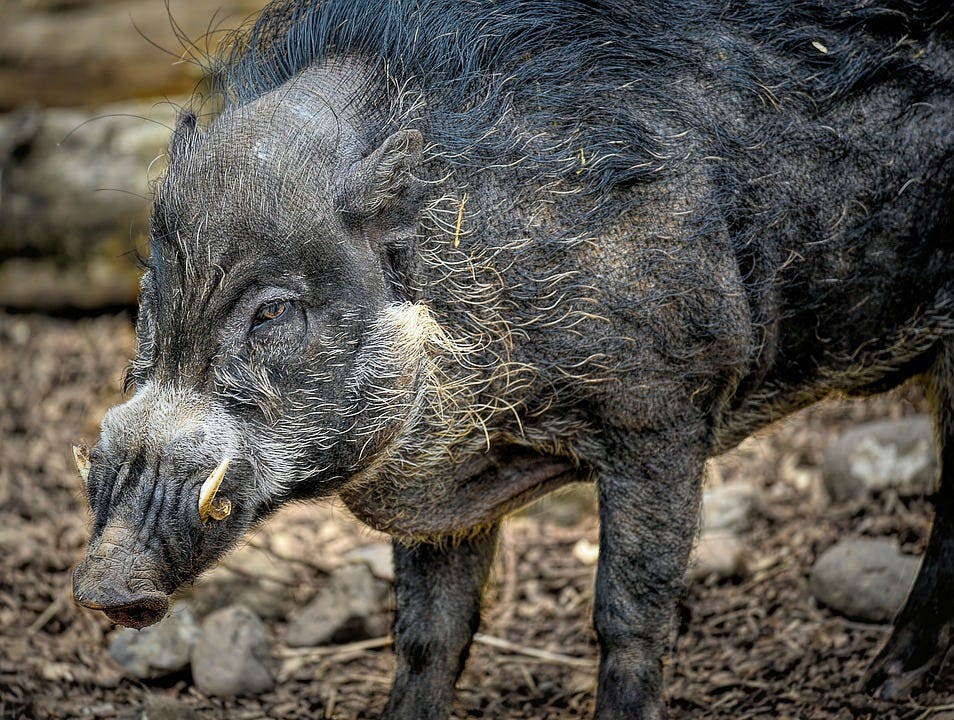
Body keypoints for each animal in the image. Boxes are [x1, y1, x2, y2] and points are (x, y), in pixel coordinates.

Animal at [72, 0, 954, 717]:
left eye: (273, 311)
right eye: (151, 287)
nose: (106, 585)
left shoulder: (665, 409)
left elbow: (629, 614)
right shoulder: (445, 489)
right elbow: (428, 634)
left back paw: (887, 682)